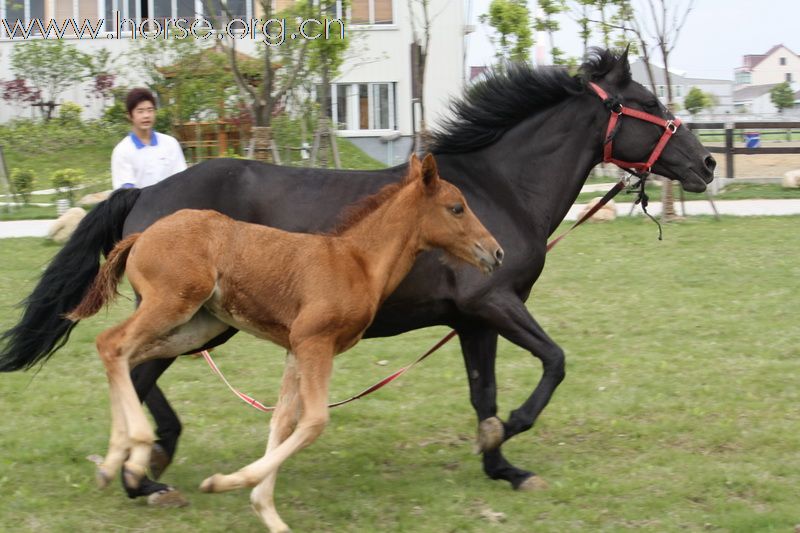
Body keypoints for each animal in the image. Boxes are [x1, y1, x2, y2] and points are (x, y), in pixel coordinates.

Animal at [72, 152, 504, 528]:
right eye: (457, 208)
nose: (496, 252)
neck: (357, 263)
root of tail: (141, 234)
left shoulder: (296, 349)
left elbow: (282, 421)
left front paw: (267, 512)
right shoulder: (315, 342)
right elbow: (313, 422)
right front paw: (225, 483)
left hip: (196, 328)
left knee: (123, 356)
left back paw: (114, 463)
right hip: (170, 306)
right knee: (112, 344)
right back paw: (133, 456)